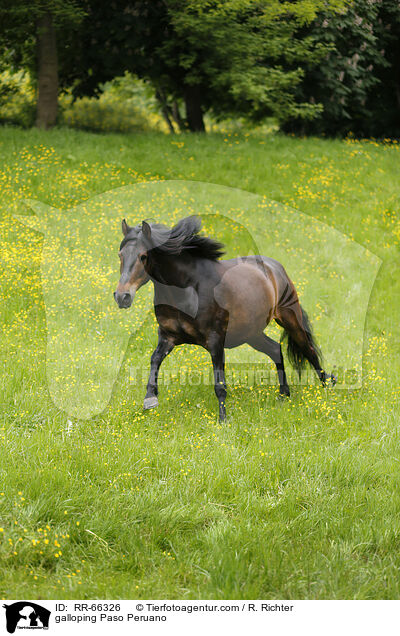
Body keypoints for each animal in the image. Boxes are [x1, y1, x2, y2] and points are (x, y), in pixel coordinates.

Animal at [114, 216, 336, 420]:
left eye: (143, 256)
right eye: (120, 255)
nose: (122, 296)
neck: (188, 288)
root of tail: (275, 267)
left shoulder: (215, 340)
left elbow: (219, 384)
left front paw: (223, 419)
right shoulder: (168, 336)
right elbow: (154, 360)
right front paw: (150, 399)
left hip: (289, 319)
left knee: (308, 350)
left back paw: (327, 386)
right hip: (251, 333)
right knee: (275, 349)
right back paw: (284, 395)